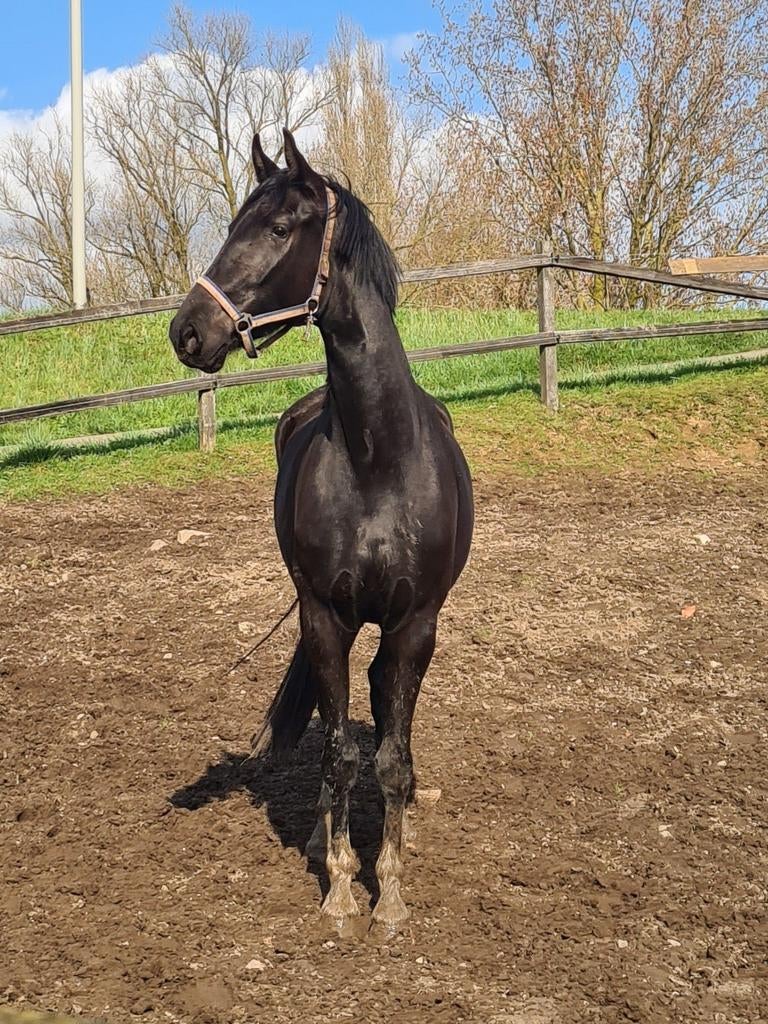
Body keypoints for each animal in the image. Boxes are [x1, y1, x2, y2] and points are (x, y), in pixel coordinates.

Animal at [169, 129, 474, 929]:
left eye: (279, 228)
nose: (188, 331)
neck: (377, 459)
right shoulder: (325, 616)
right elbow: (337, 752)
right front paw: (339, 883)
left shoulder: (415, 625)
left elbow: (390, 755)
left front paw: (389, 889)